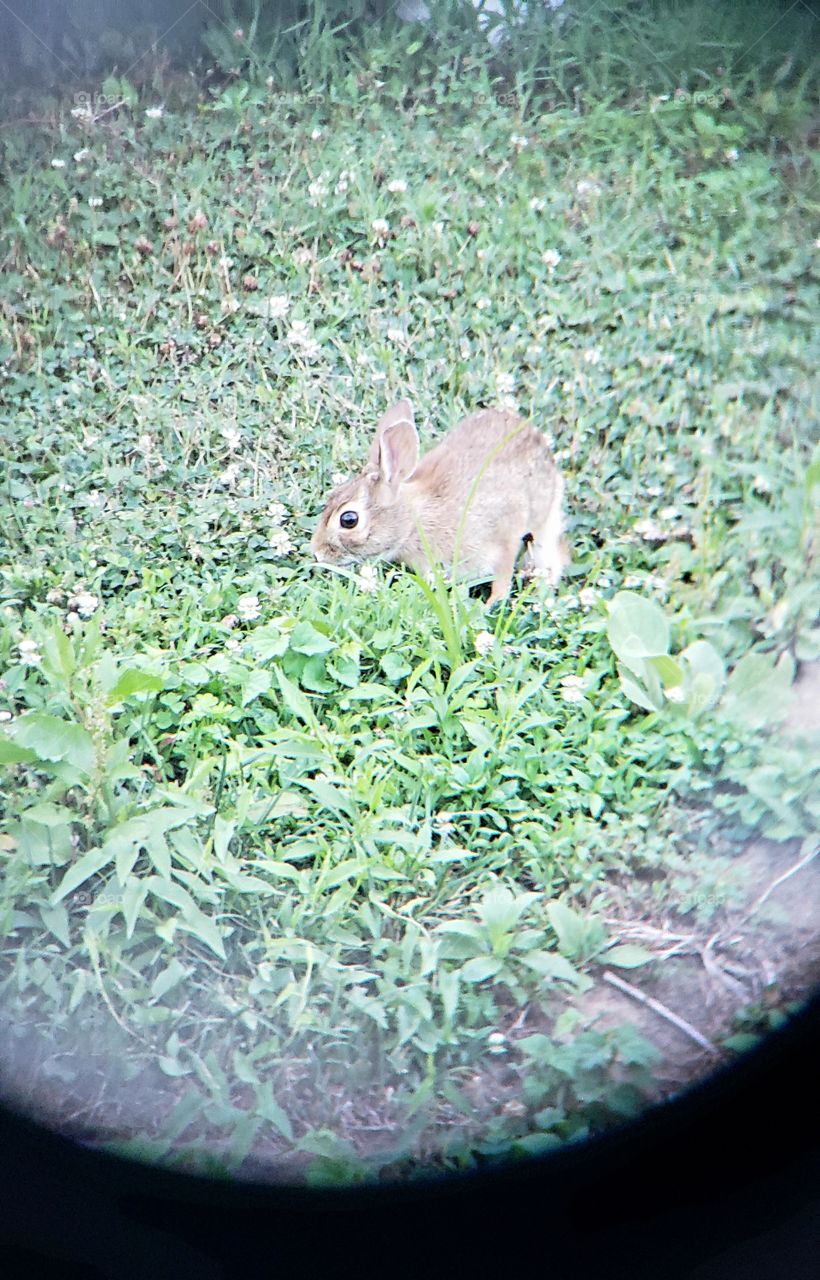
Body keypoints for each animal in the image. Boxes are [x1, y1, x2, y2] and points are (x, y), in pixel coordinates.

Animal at [310, 399, 567, 604]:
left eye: (348, 519)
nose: (317, 554)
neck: (413, 524)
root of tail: (539, 441)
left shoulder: (502, 539)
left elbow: (502, 580)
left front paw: (489, 605)